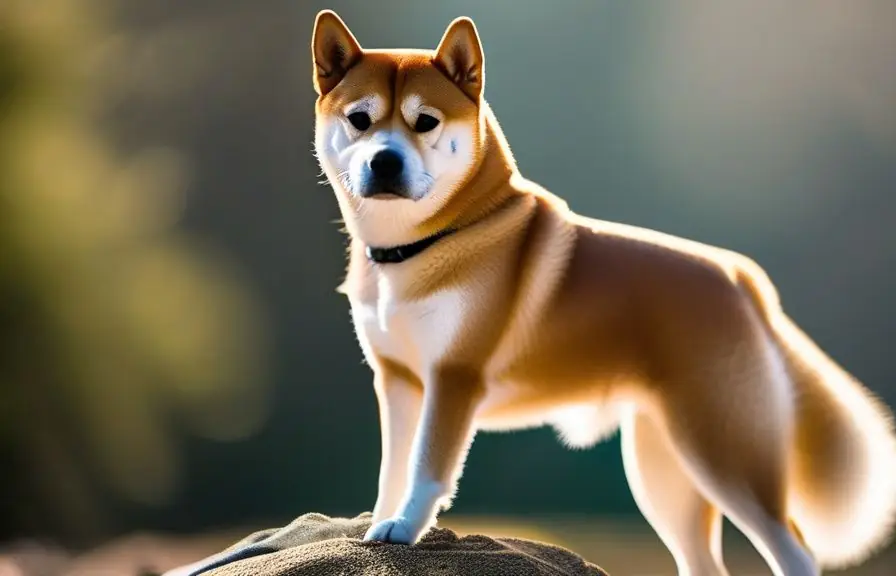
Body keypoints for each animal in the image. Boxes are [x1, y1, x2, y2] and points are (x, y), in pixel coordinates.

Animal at [311, 10, 896, 576]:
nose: (385, 161)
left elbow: (427, 468)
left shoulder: (454, 377)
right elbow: (393, 470)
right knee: (703, 561)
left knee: (794, 551)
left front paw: (404, 529)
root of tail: (741, 281)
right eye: (360, 119)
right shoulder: (399, 382)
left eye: (426, 121)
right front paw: (379, 523)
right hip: (666, 470)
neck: (424, 244)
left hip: (726, 450)